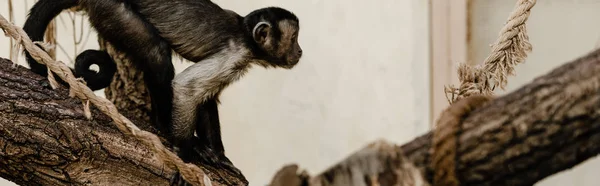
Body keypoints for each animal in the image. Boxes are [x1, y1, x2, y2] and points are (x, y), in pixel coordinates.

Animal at [21, 0, 302, 184]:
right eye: (294, 38)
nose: (299, 51)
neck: (245, 35)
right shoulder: (236, 54)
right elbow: (188, 88)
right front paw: (184, 156)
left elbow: (206, 98)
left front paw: (219, 156)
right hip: (111, 9)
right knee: (155, 53)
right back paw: (164, 126)